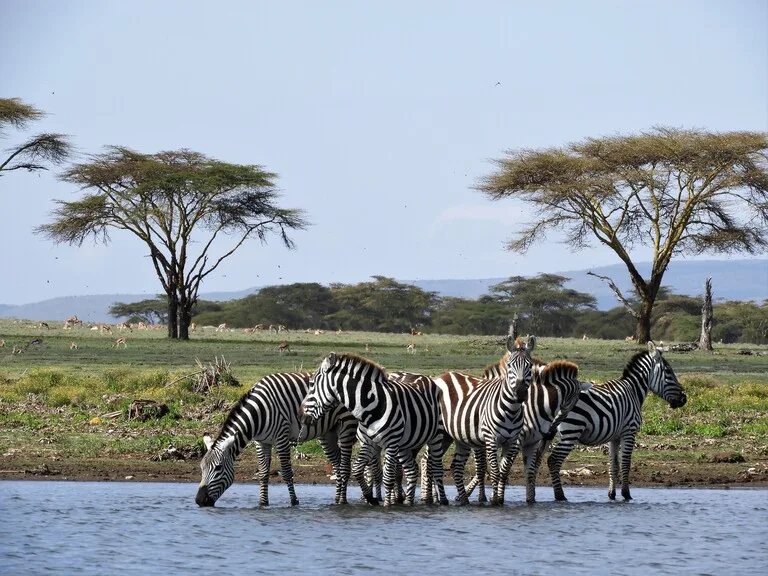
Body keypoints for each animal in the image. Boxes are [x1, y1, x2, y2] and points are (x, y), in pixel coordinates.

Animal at [195, 372, 356, 506]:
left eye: (218, 468)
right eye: (201, 468)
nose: (199, 501)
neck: (259, 414)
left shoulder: (282, 437)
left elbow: (286, 472)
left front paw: (294, 502)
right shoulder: (261, 442)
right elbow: (263, 473)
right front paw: (263, 502)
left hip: (347, 426)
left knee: (345, 467)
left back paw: (342, 501)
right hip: (327, 433)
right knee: (337, 465)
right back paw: (336, 499)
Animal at [296, 354, 448, 506]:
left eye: (311, 384)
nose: (299, 415)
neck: (370, 407)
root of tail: (429, 379)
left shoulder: (390, 443)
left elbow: (387, 477)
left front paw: (387, 505)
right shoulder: (369, 443)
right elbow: (357, 469)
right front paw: (370, 497)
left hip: (436, 436)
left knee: (436, 468)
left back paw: (443, 500)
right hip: (404, 444)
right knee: (411, 470)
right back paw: (409, 502)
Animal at [432, 336, 536, 506]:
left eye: (530, 365)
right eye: (509, 365)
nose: (520, 392)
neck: (512, 410)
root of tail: (442, 376)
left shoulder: (511, 441)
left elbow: (504, 472)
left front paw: (500, 499)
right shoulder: (491, 438)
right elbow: (494, 471)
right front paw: (494, 501)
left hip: (455, 436)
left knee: (455, 467)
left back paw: (463, 500)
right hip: (439, 432)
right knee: (429, 462)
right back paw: (438, 499)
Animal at [548, 344, 688, 502]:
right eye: (668, 372)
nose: (684, 399)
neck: (634, 391)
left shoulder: (614, 437)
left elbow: (613, 465)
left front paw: (612, 494)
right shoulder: (629, 431)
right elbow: (626, 463)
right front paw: (626, 494)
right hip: (571, 430)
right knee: (553, 460)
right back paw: (560, 496)